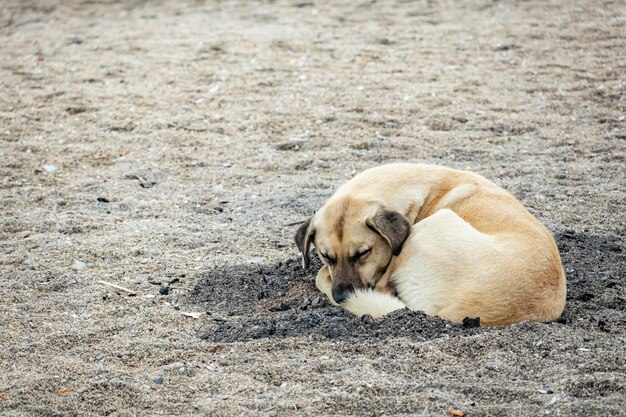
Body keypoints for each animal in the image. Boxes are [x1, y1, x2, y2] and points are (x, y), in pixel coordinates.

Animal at [294, 162, 564, 324]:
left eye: (363, 253)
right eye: (326, 255)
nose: (341, 296)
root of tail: (449, 312)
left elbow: (320, 275)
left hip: (429, 227)